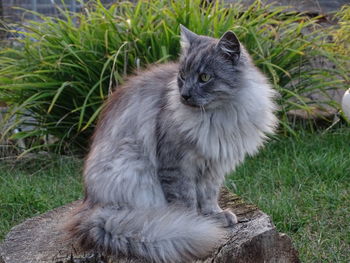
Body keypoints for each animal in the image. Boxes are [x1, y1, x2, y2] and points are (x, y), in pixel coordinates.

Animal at [67, 25, 278, 263]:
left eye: (204, 77)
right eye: (183, 76)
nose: (184, 95)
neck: (219, 115)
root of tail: (89, 208)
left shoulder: (212, 166)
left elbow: (208, 195)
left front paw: (214, 215)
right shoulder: (177, 165)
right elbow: (186, 201)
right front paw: (195, 225)